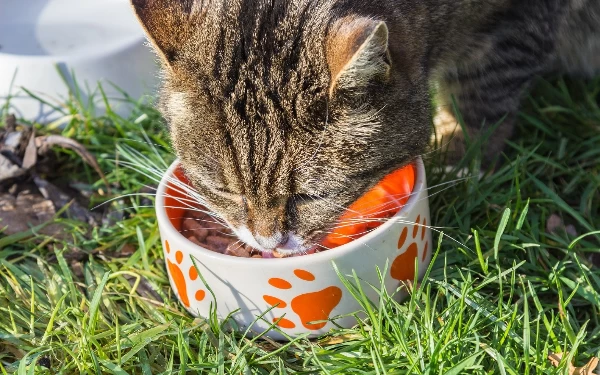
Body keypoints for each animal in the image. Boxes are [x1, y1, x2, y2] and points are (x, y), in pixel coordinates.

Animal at [131, 0, 600, 256]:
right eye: (225, 190)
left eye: (311, 195)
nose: (268, 243)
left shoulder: (516, 23)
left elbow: (483, 92)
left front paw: (461, 158)